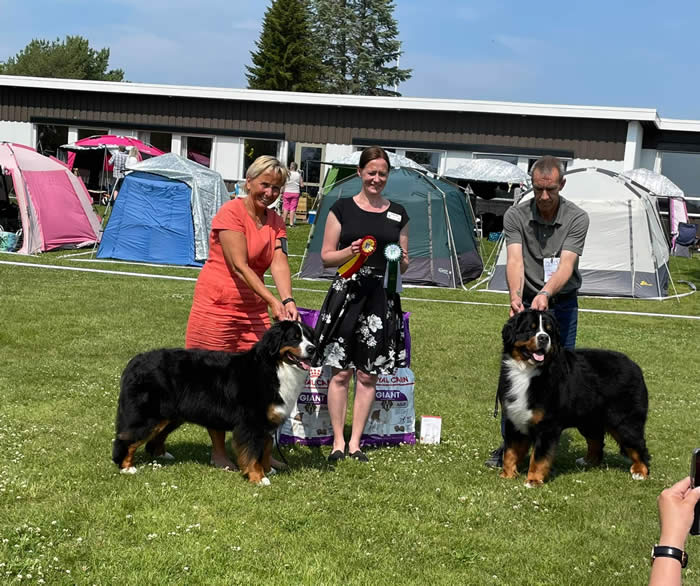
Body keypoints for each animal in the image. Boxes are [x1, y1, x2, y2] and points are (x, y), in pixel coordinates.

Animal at [111, 320, 314, 484]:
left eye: (309, 337)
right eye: (294, 338)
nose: (312, 349)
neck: (275, 368)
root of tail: (135, 361)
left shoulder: (267, 423)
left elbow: (266, 448)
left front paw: (268, 469)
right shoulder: (251, 423)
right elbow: (252, 453)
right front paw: (258, 477)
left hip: (170, 416)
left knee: (156, 436)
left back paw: (161, 455)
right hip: (148, 416)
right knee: (126, 439)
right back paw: (126, 467)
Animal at [498, 310, 652, 484]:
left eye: (549, 331)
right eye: (530, 329)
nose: (544, 338)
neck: (527, 372)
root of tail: (635, 366)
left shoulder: (547, 426)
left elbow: (538, 458)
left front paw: (533, 480)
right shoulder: (515, 419)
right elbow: (510, 452)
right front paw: (507, 475)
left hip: (624, 421)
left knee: (638, 445)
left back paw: (640, 471)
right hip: (589, 419)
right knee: (596, 440)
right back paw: (588, 461)